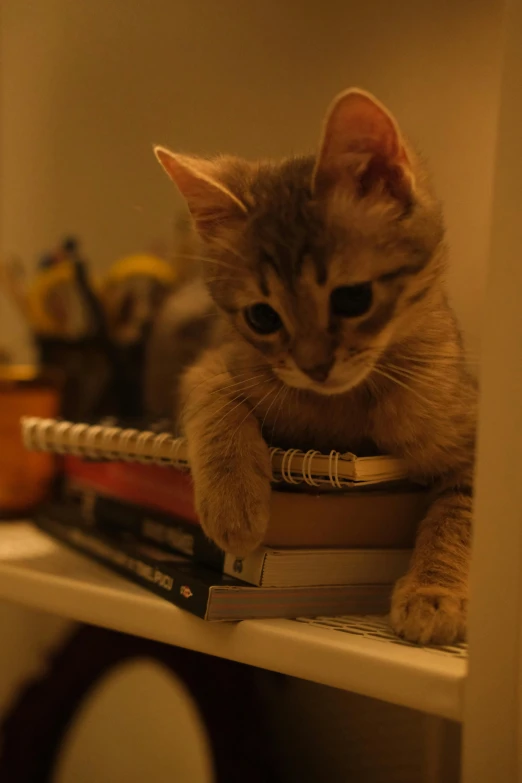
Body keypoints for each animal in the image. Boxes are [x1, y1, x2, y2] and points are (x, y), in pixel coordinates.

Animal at [152, 89, 474, 648]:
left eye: (352, 299)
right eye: (261, 316)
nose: (314, 367)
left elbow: (459, 513)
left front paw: (433, 593)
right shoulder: (216, 361)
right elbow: (214, 400)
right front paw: (235, 503)